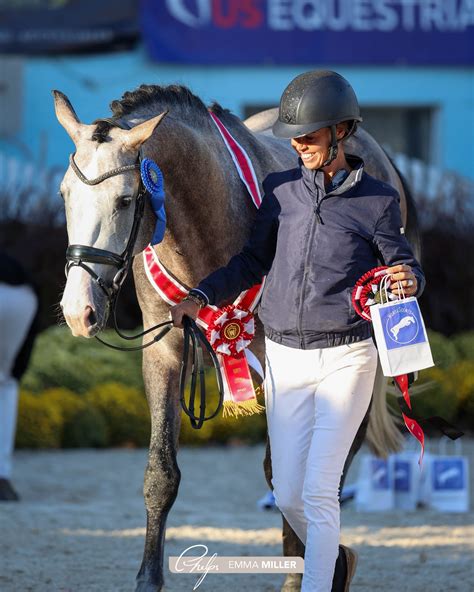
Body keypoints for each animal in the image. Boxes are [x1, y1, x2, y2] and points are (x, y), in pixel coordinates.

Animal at [54, 84, 418, 592]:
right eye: (65, 194)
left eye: (126, 200)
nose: (79, 311)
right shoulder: (164, 354)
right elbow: (160, 473)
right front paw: (148, 579)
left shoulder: (280, 360)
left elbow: (283, 472)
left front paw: (304, 571)